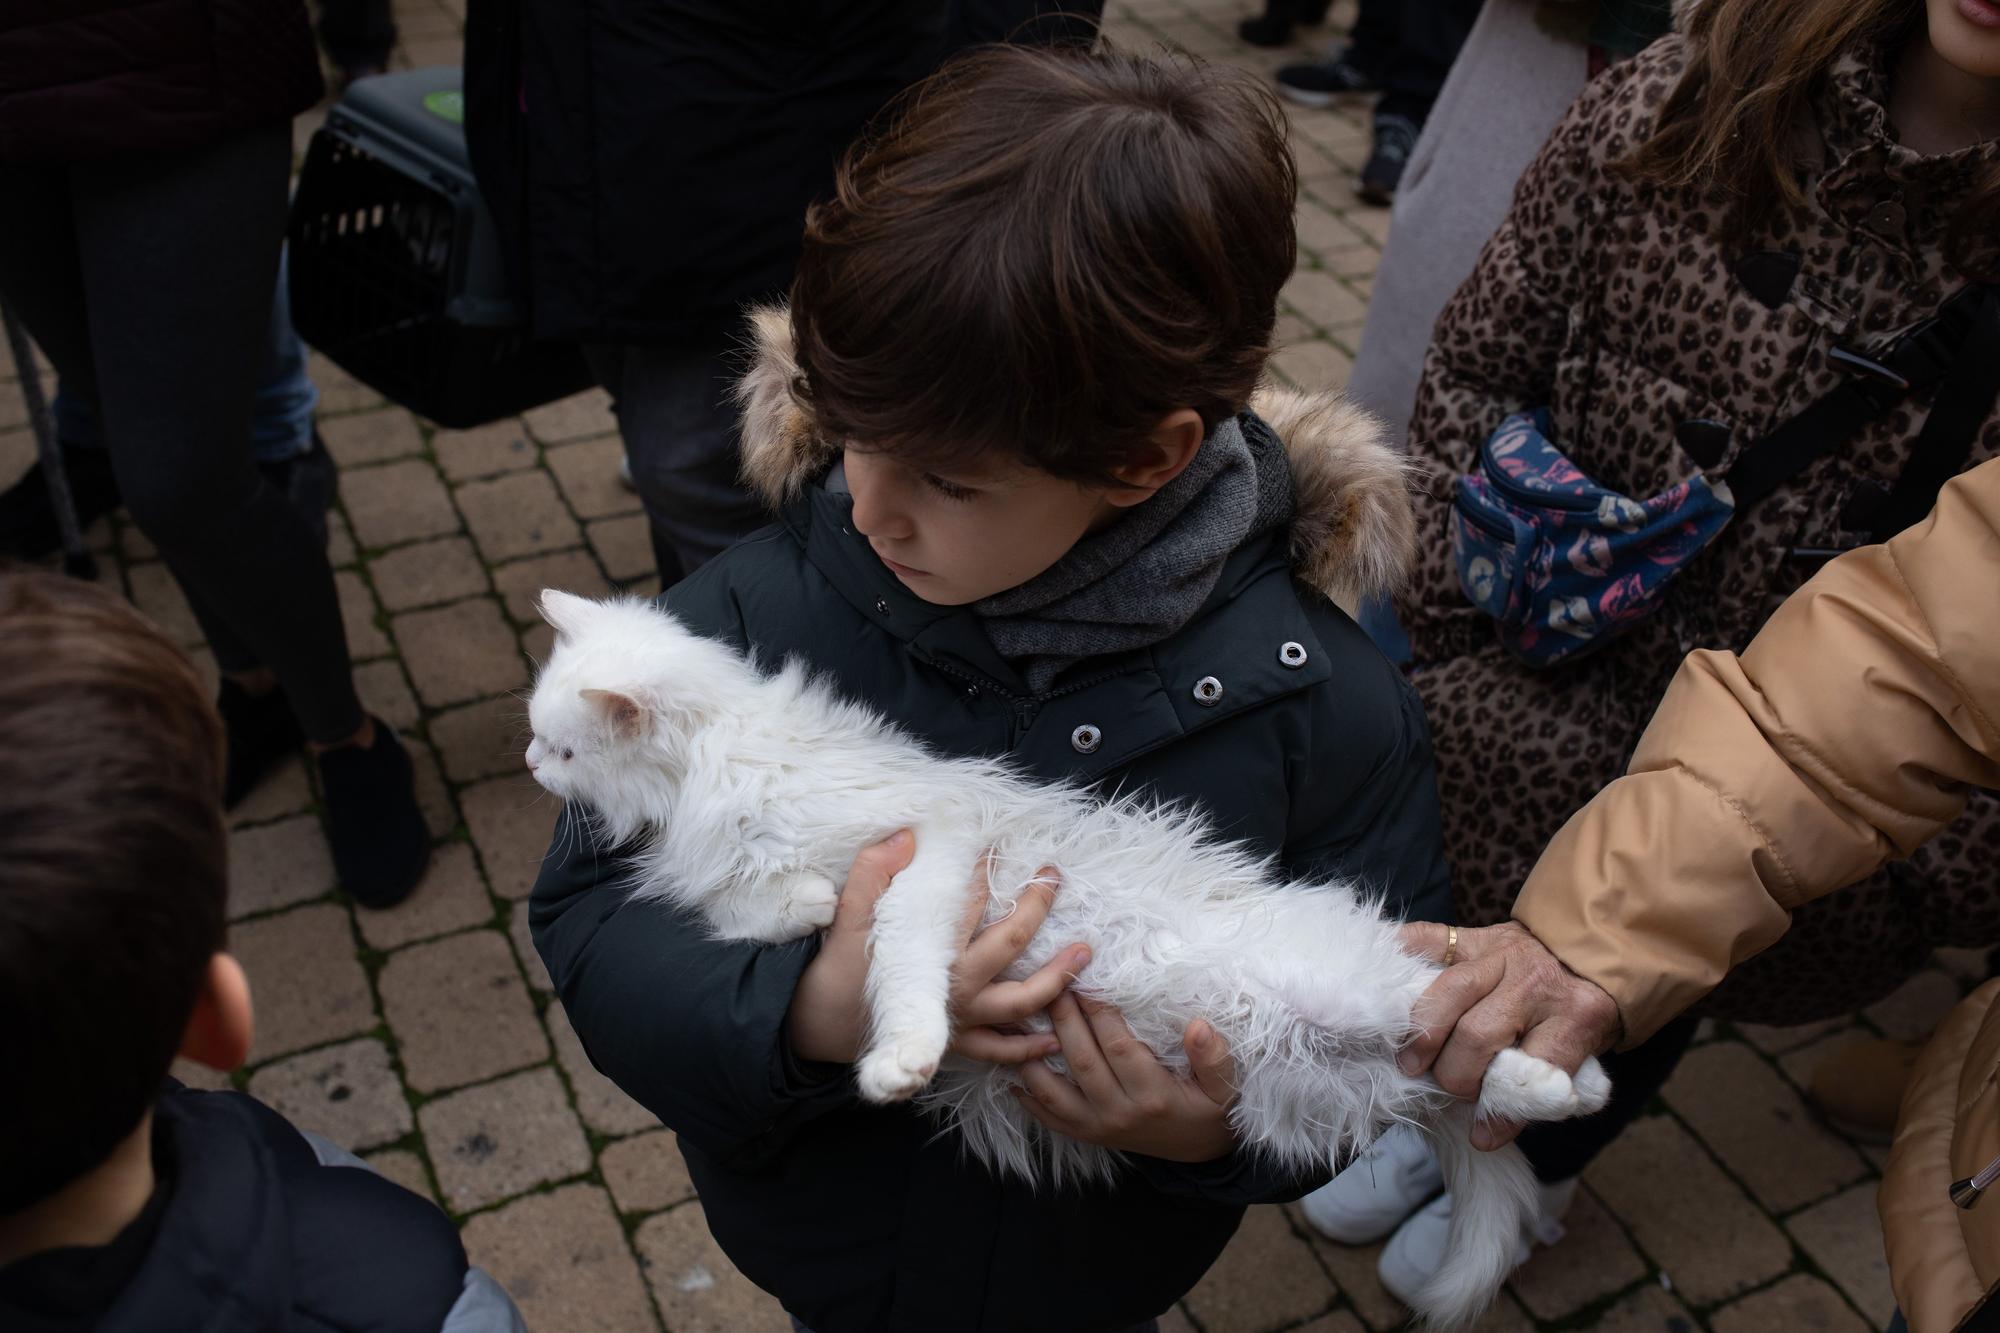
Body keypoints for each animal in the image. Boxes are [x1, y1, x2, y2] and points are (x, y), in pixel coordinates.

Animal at [520, 588, 1608, 1320]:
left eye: (565, 750)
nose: (532, 764)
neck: (721, 759)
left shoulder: (934, 849)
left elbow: (897, 950)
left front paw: (899, 1055)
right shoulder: (729, 881)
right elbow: (766, 913)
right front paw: (811, 905)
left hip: (1356, 997)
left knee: (1449, 1030)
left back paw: (1576, 1067)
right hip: (1310, 1084)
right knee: (1460, 1079)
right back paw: (1558, 1087)